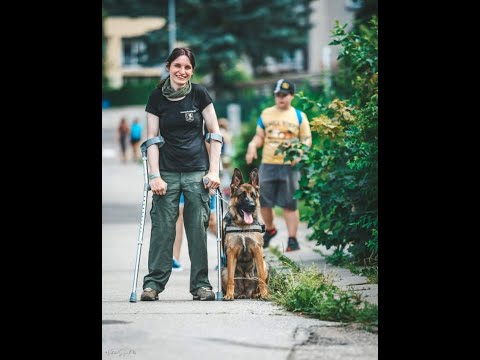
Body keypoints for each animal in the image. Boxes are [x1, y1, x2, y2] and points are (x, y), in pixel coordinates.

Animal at [221, 169, 270, 300]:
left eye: (253, 195)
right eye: (242, 195)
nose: (252, 206)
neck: (242, 225)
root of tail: (245, 293)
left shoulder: (257, 250)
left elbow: (261, 277)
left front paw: (264, 294)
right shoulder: (231, 252)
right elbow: (231, 279)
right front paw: (229, 294)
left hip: (265, 264)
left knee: (260, 281)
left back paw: (260, 293)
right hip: (223, 271)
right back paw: (231, 294)